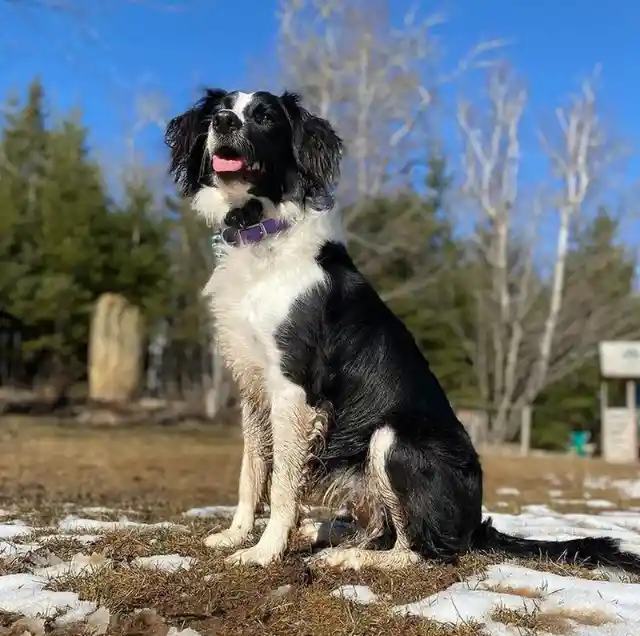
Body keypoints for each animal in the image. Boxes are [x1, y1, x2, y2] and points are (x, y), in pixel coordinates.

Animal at [165, 87, 640, 572]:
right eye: (222, 109)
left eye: (264, 118)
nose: (224, 122)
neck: (262, 232)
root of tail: (475, 525)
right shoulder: (253, 386)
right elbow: (252, 469)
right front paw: (235, 534)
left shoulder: (293, 386)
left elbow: (282, 482)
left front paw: (264, 550)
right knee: (381, 527)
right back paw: (328, 534)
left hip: (392, 438)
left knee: (418, 548)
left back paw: (348, 557)